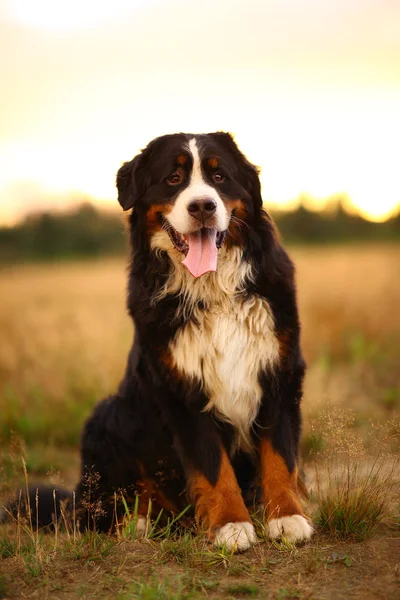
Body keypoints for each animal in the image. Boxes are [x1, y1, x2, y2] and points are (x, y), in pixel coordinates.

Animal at [5, 134, 316, 552]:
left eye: (219, 176)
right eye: (173, 178)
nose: (202, 206)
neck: (212, 292)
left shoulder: (279, 372)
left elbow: (280, 455)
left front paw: (287, 517)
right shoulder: (182, 390)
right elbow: (212, 465)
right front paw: (231, 525)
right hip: (108, 415)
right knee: (96, 513)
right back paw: (138, 523)